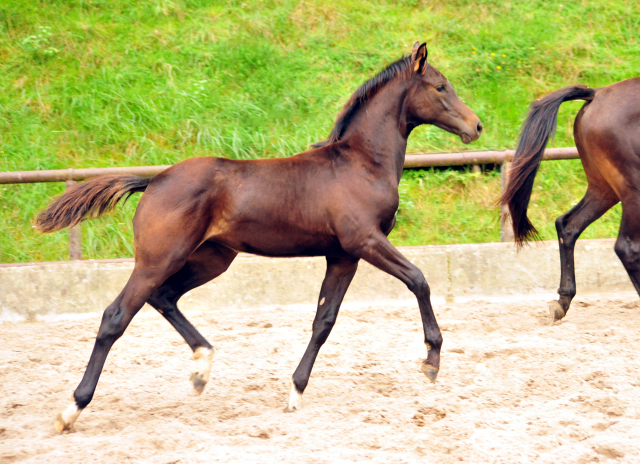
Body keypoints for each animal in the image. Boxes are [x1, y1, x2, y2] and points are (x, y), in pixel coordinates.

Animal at [37, 43, 480, 432]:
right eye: (440, 87)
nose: (476, 126)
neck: (361, 163)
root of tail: (154, 180)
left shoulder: (343, 256)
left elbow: (324, 320)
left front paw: (295, 392)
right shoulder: (365, 242)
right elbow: (419, 279)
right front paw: (431, 362)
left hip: (212, 259)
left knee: (164, 297)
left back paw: (202, 368)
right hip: (158, 259)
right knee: (116, 316)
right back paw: (71, 409)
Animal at [502, 79, 640, 322]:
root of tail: (597, 94)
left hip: (603, 189)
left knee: (568, 225)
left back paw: (562, 302)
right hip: (632, 190)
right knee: (628, 247)